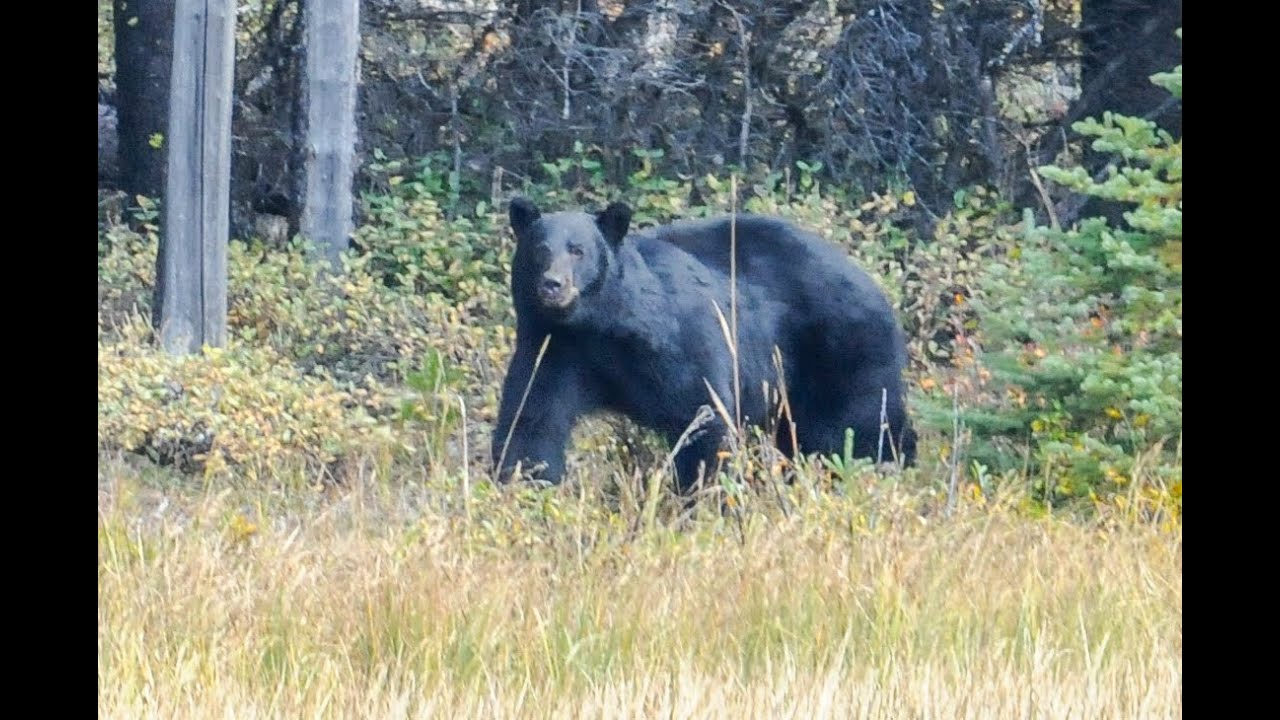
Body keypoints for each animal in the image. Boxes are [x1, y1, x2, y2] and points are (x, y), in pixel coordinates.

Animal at [491, 196, 915, 494]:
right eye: (539, 250)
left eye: (578, 250)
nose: (553, 285)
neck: (603, 326)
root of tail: (871, 282)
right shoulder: (555, 347)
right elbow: (532, 420)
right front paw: (524, 489)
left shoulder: (681, 344)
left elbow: (703, 415)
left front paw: (699, 497)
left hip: (842, 347)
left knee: (858, 424)